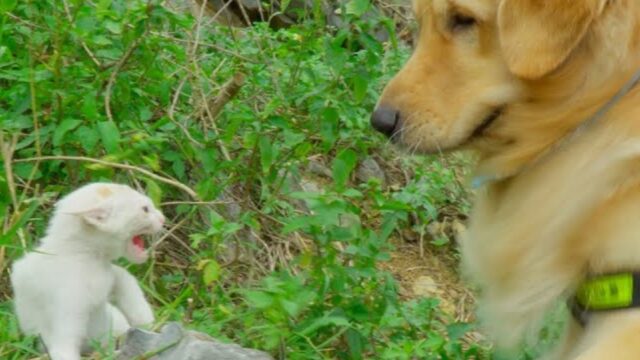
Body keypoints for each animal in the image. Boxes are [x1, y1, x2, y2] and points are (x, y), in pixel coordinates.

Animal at [10, 183, 165, 360]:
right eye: (145, 209)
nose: (163, 218)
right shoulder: (68, 308)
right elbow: (63, 349)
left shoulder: (110, 274)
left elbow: (127, 281)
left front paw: (147, 321)